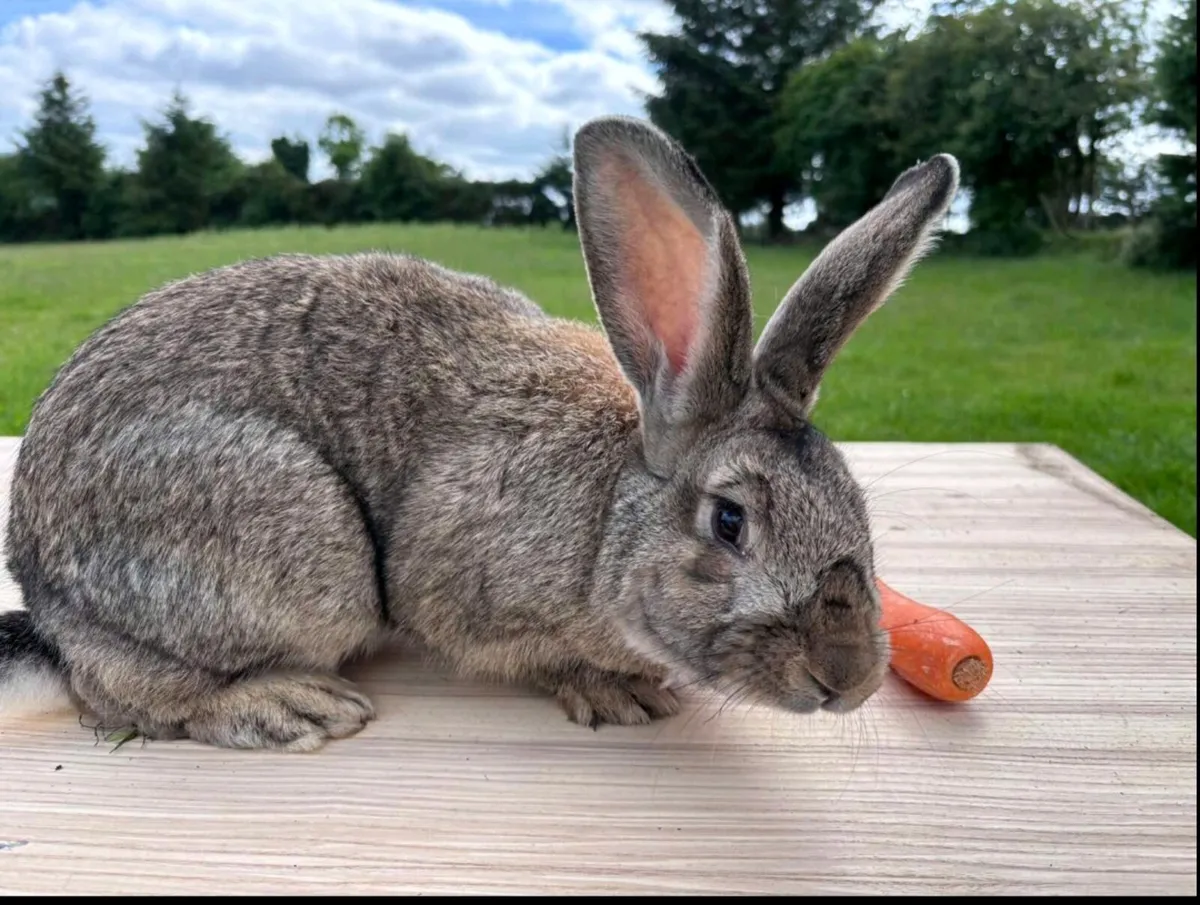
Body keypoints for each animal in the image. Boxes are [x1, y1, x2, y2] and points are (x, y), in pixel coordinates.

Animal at [0, 115, 959, 751]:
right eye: (730, 522)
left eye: (855, 507)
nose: (848, 677)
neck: (607, 517)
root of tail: (48, 598)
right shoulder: (457, 587)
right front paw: (616, 690)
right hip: (302, 547)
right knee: (122, 695)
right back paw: (283, 705)